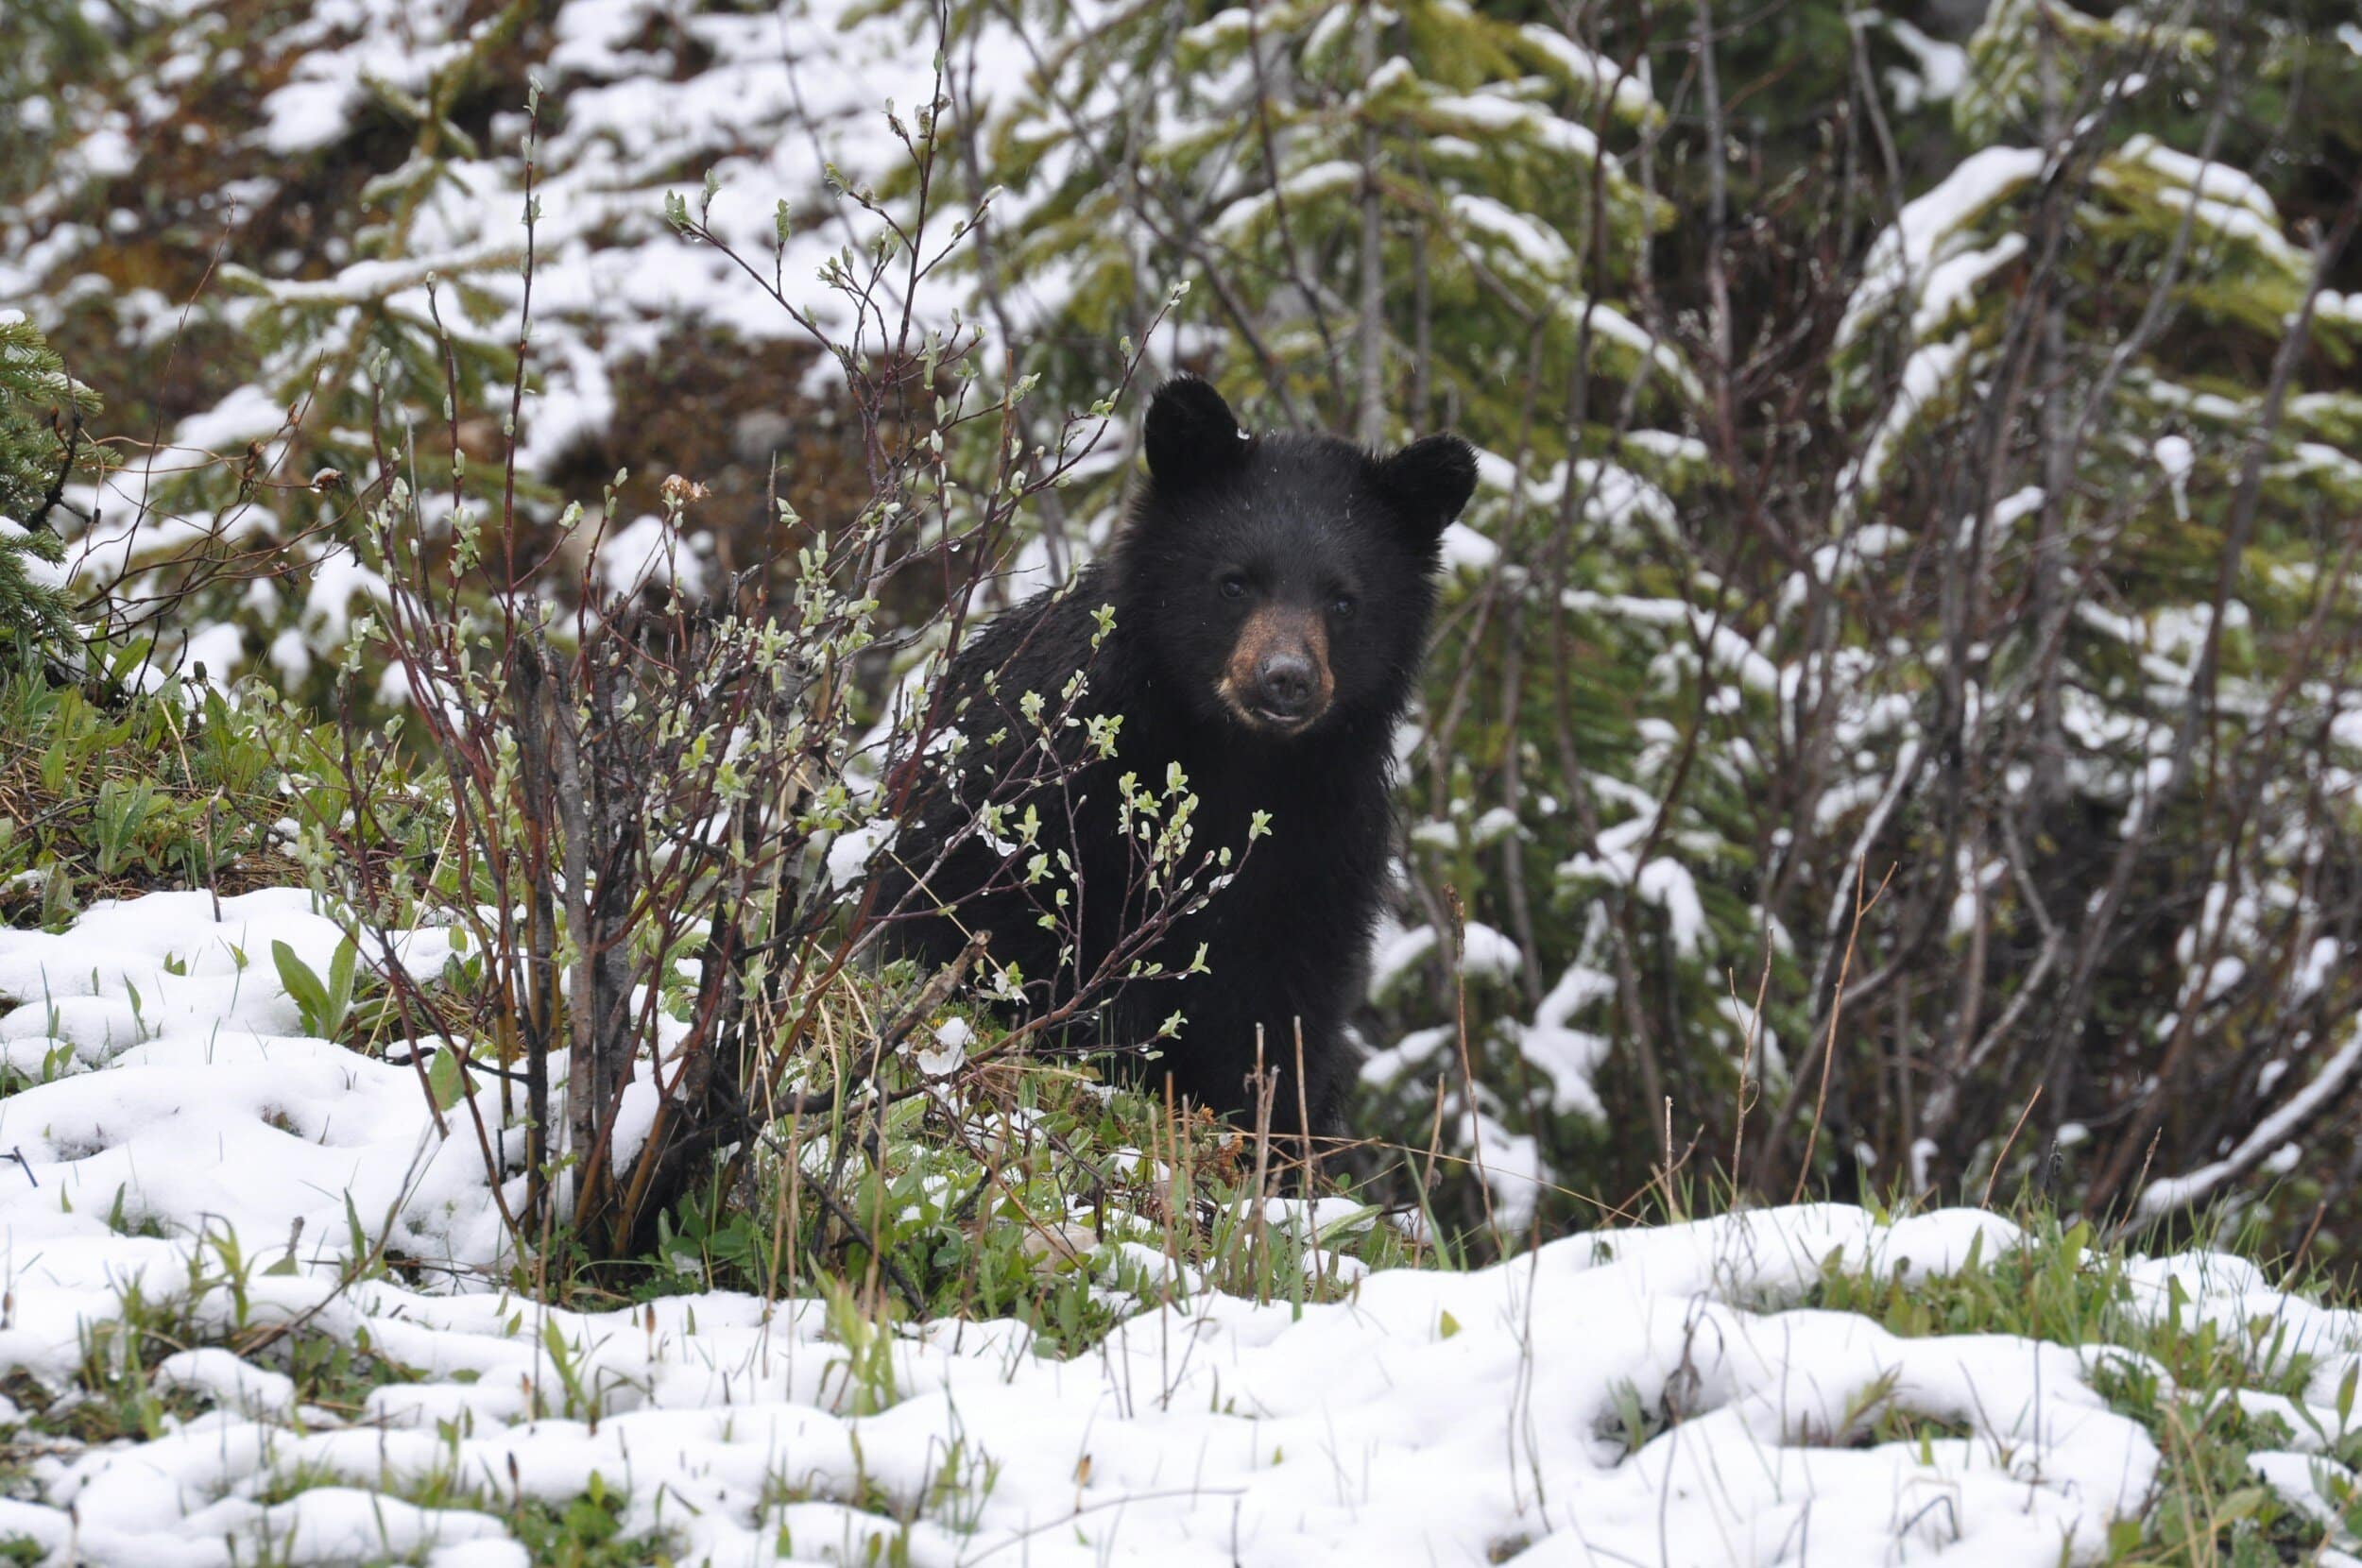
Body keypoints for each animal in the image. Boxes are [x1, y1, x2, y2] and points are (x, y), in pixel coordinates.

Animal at [869, 376, 1477, 1143]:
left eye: (1344, 601)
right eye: (1234, 582)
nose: (1286, 678)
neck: (1232, 757)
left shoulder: (1322, 840)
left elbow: (1279, 1003)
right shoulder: (1047, 780)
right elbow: (987, 910)